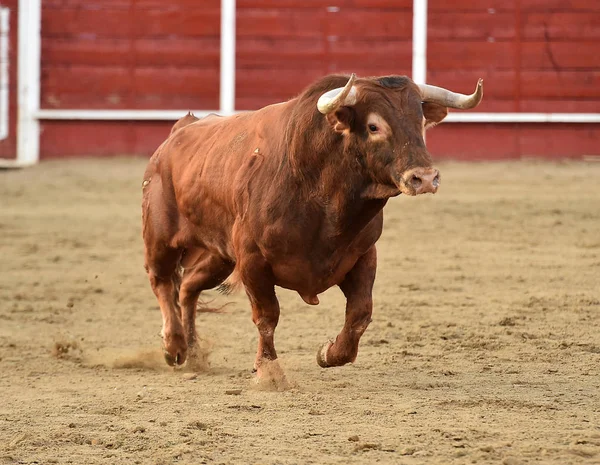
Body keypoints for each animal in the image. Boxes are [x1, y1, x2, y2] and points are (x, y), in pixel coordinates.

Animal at [142, 72, 482, 376]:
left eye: (421, 122)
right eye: (374, 126)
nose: (423, 178)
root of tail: (180, 131)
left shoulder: (363, 255)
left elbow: (360, 314)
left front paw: (328, 353)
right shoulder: (252, 261)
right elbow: (267, 316)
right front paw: (268, 371)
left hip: (219, 255)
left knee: (188, 287)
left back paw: (192, 351)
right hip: (161, 239)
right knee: (162, 281)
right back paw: (173, 346)